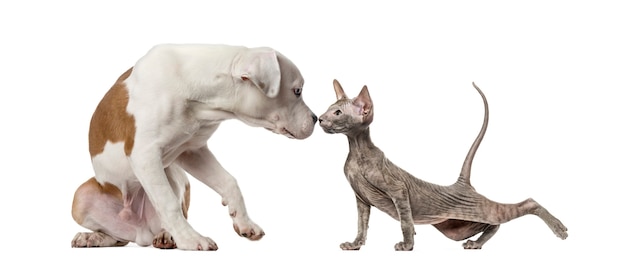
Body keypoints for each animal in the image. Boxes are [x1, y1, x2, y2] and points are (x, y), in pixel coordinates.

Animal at [70, 44, 316, 251]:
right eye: (297, 91)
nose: (315, 118)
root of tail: (141, 234)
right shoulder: (145, 155)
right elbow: (168, 202)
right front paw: (191, 240)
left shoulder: (191, 151)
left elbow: (229, 182)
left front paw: (244, 222)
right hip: (83, 195)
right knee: (119, 235)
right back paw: (92, 237)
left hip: (175, 175)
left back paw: (165, 235)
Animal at [316, 79, 564, 252]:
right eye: (329, 108)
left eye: (337, 112)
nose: (319, 118)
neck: (357, 151)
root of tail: (462, 185)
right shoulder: (361, 199)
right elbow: (361, 223)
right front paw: (355, 244)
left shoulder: (398, 190)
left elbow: (405, 222)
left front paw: (407, 245)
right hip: (458, 227)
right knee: (494, 225)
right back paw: (476, 244)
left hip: (480, 209)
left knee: (526, 204)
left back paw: (559, 228)